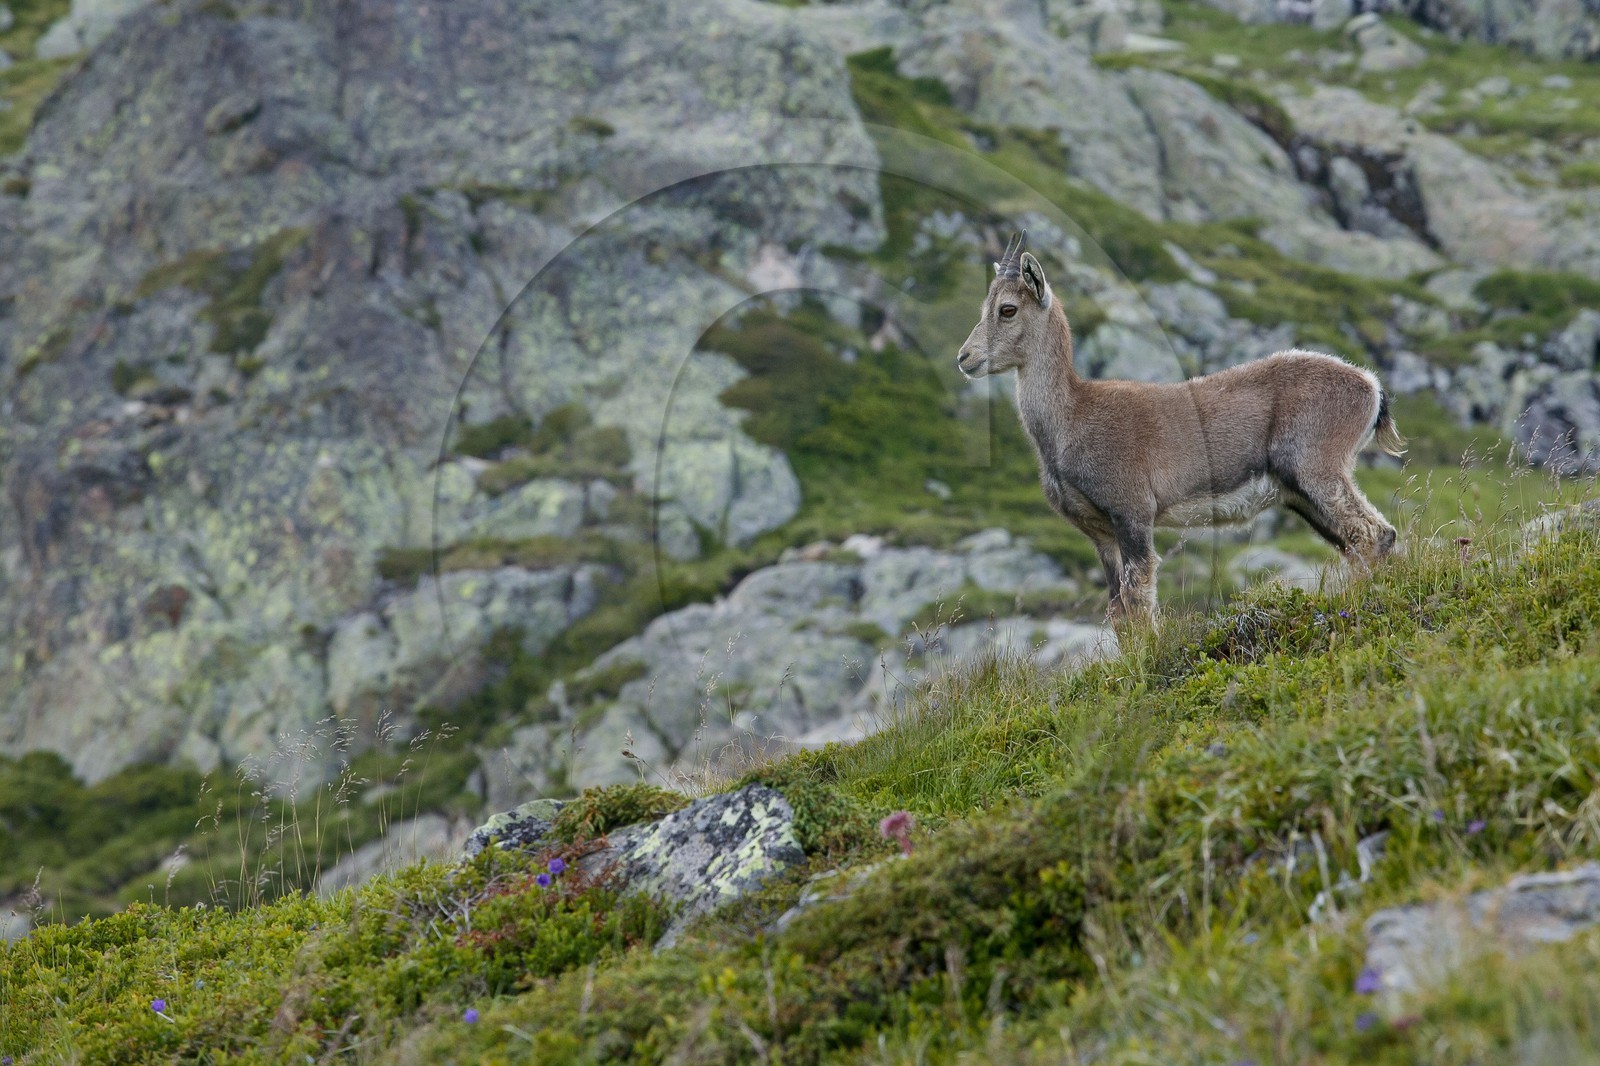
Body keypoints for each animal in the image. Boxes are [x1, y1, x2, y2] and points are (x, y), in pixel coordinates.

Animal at [957, 233, 1405, 628]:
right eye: (984, 306)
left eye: (1008, 309)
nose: (965, 357)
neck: (1071, 419)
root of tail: (1370, 387)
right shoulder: (1100, 533)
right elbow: (1119, 614)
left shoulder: (1133, 513)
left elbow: (1139, 603)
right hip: (1299, 494)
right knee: (1361, 542)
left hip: (1316, 467)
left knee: (1373, 534)